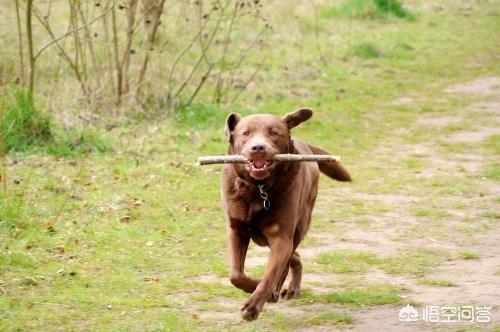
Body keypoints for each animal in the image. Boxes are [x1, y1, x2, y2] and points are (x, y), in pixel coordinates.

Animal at [221, 107, 350, 320]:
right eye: (245, 133)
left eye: (273, 132)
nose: (258, 147)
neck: (259, 188)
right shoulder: (237, 230)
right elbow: (235, 275)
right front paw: (253, 286)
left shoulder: (281, 237)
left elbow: (271, 274)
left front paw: (253, 305)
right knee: (294, 256)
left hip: (300, 225)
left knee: (288, 259)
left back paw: (282, 290)